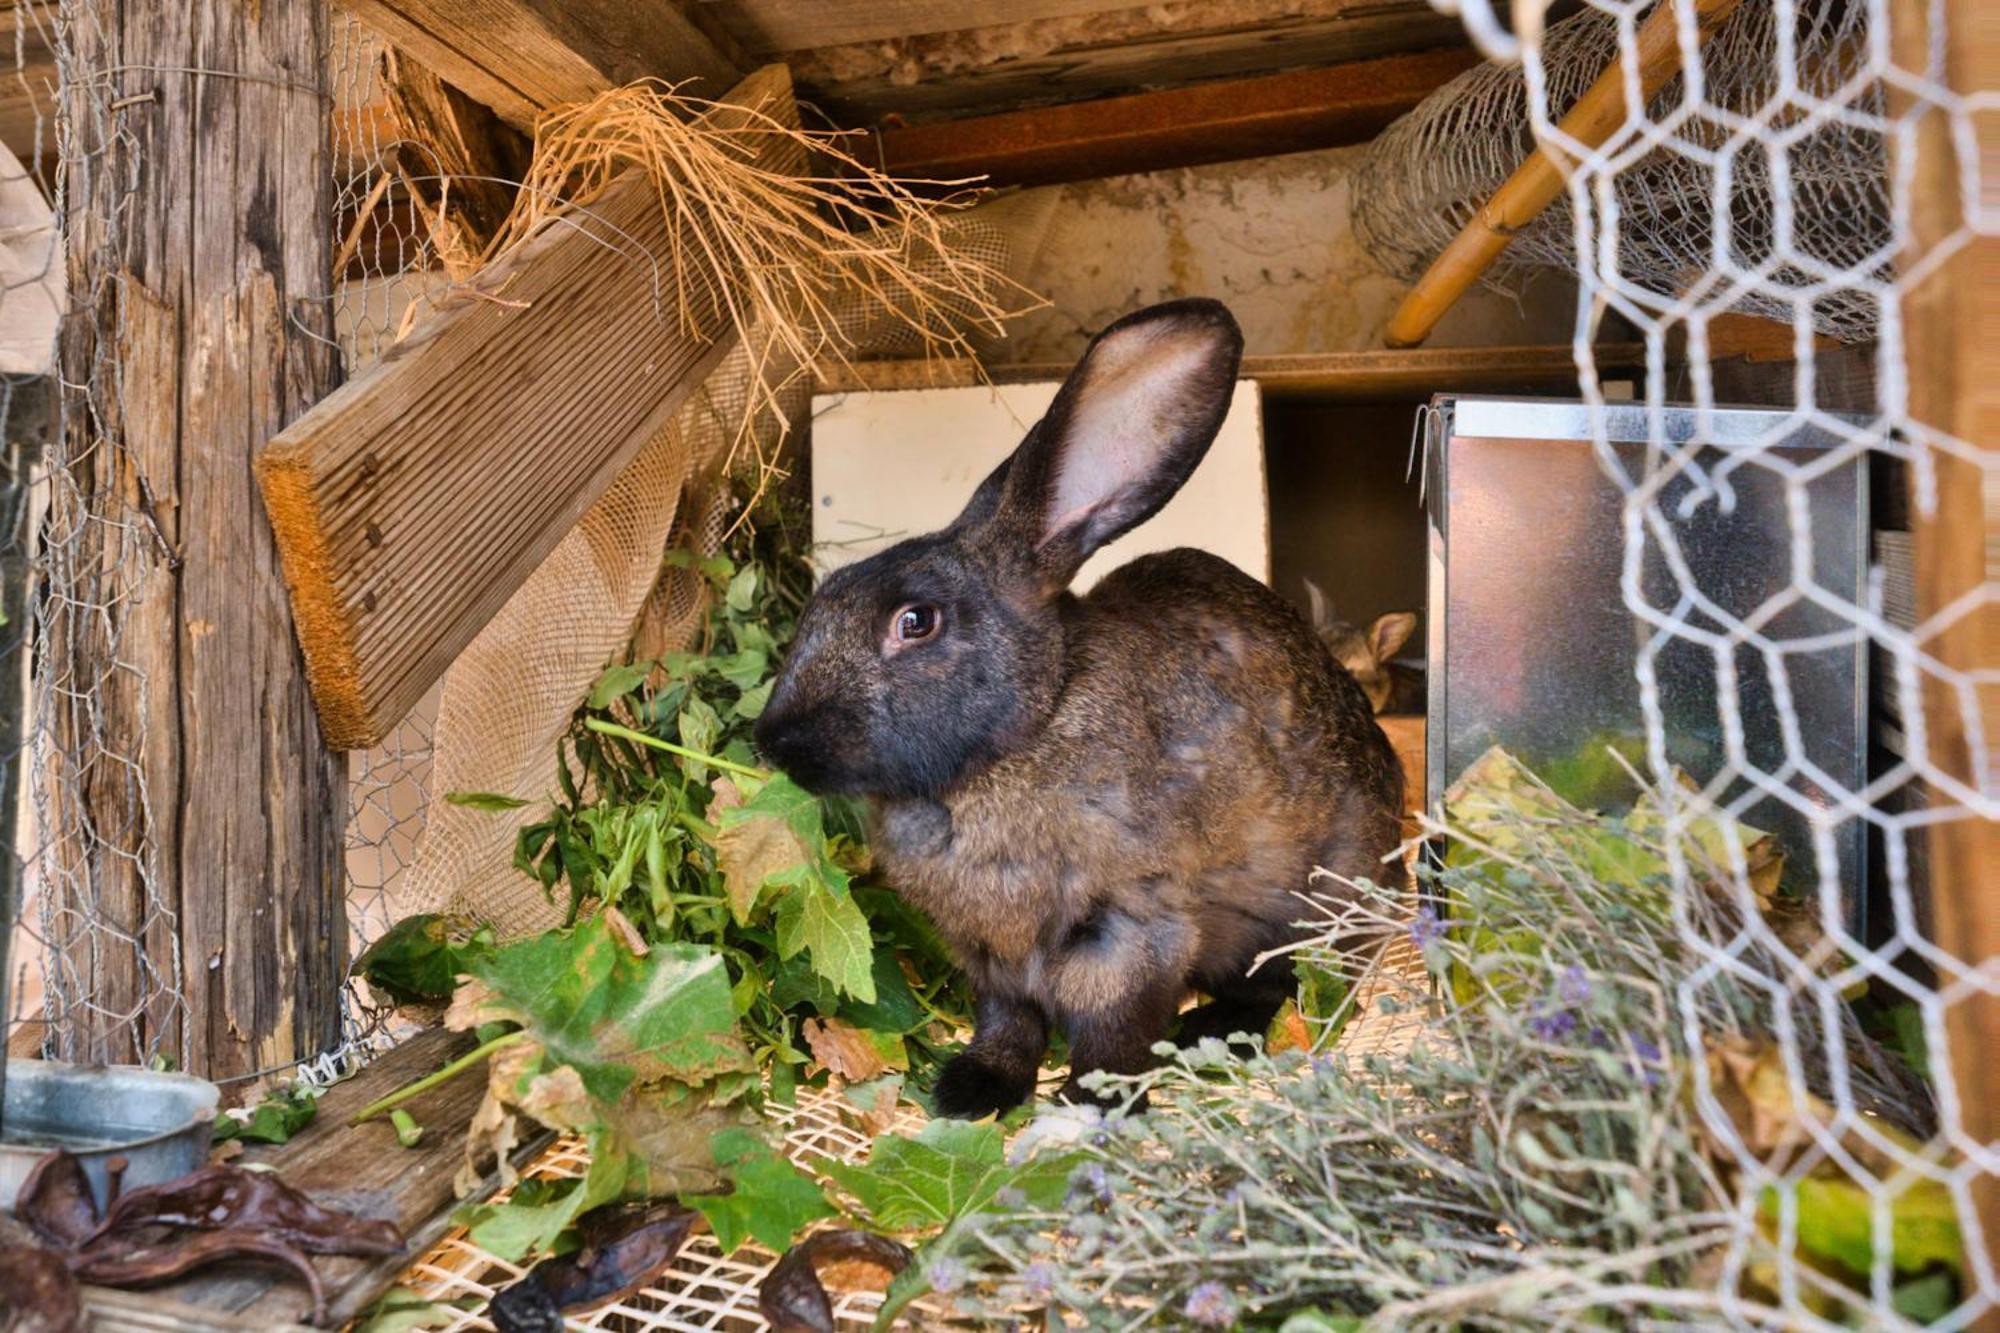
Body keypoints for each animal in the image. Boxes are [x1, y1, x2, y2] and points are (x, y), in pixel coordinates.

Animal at [756, 298, 1400, 1112]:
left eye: (916, 621)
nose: (775, 741)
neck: (1029, 727)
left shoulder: (1134, 932)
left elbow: (1112, 1033)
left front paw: (1093, 1104)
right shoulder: (993, 960)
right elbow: (1009, 1023)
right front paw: (972, 1089)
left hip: (1299, 913)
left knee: (1285, 989)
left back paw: (1211, 1032)